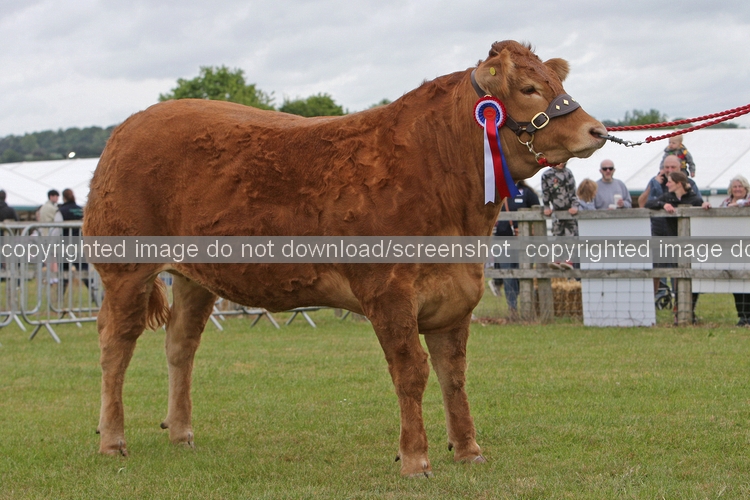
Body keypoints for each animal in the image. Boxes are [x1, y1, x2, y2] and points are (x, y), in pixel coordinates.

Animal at [84, 40, 606, 477]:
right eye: (529, 88)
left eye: (558, 83)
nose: (597, 129)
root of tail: (130, 125)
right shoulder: (388, 292)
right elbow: (411, 372)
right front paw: (415, 459)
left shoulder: (456, 296)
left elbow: (453, 375)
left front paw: (468, 450)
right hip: (125, 270)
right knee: (114, 347)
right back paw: (112, 440)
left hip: (195, 279)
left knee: (180, 346)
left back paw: (181, 432)